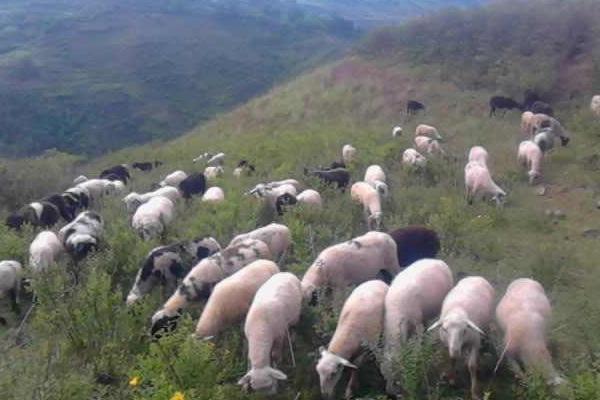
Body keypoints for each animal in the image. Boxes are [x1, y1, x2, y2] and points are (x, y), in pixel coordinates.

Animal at [382, 260, 452, 394]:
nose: (390, 392)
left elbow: (418, 344)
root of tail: (437, 261)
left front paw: (418, 357)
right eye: (383, 373)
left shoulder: (416, 322)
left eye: (396, 370)